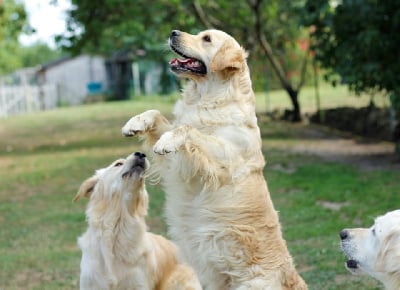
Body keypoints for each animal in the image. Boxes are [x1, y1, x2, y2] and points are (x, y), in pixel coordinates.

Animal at [122, 28, 306, 288]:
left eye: (206, 39)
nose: (173, 32)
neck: (207, 97)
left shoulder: (223, 160)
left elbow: (188, 130)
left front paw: (168, 141)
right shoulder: (179, 162)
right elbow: (158, 115)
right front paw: (136, 123)